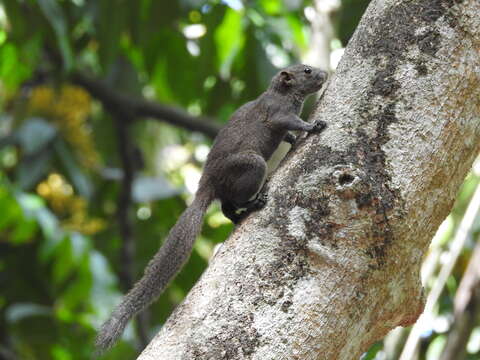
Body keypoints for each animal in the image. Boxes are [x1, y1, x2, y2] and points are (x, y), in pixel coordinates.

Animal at [96, 64, 330, 352]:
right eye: (307, 71)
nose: (324, 74)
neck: (282, 93)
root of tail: (206, 186)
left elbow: (287, 132)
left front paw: (294, 137)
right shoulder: (277, 113)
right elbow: (291, 123)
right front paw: (312, 126)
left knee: (227, 208)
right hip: (252, 165)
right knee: (233, 202)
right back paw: (253, 203)